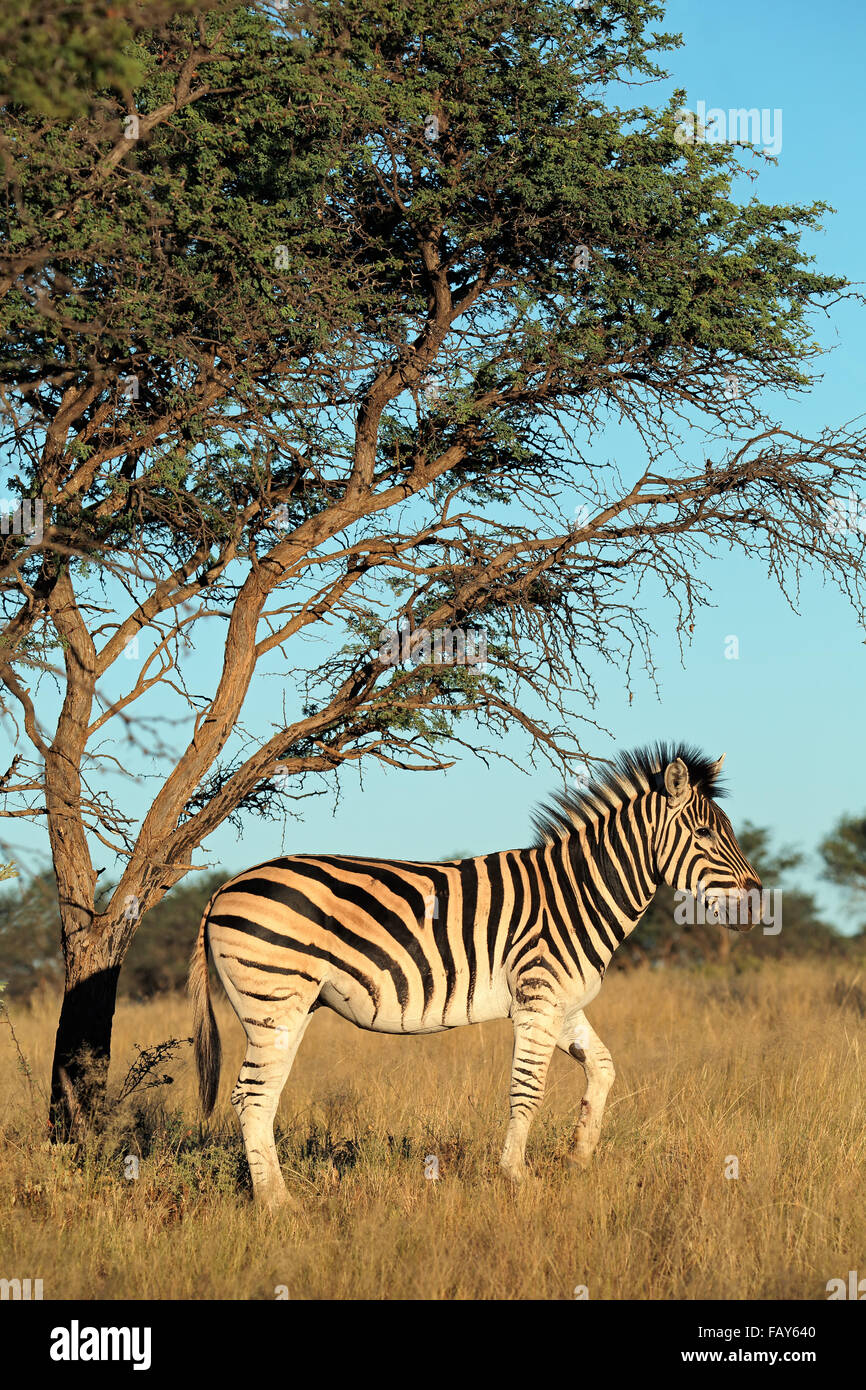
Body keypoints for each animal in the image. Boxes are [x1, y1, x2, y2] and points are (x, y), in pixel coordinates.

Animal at [189, 743, 761, 1207]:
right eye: (705, 833)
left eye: (729, 830)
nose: (759, 902)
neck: (578, 895)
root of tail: (224, 888)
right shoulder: (537, 998)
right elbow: (527, 1091)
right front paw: (517, 1178)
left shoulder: (563, 1004)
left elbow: (602, 1068)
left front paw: (577, 1158)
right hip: (274, 1001)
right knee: (251, 1097)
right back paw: (277, 1205)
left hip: (290, 1007)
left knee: (260, 1097)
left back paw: (274, 1197)